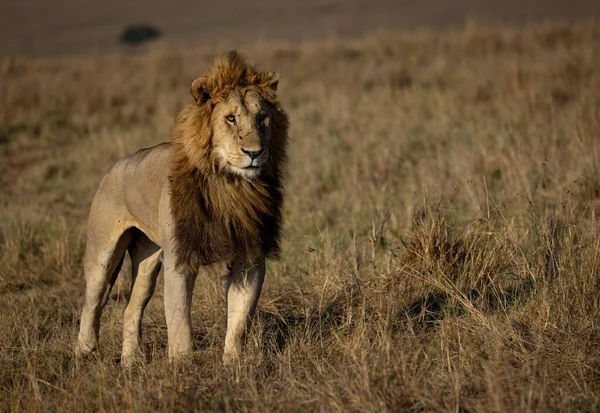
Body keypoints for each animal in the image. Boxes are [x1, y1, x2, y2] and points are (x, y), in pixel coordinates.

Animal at [74, 51, 290, 366]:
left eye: (263, 118)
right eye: (231, 118)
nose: (254, 152)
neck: (230, 185)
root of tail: (115, 167)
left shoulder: (249, 256)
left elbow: (240, 319)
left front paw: (233, 365)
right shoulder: (180, 259)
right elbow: (180, 324)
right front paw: (183, 366)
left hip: (148, 258)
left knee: (131, 308)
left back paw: (130, 362)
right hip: (102, 253)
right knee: (92, 302)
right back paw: (84, 351)